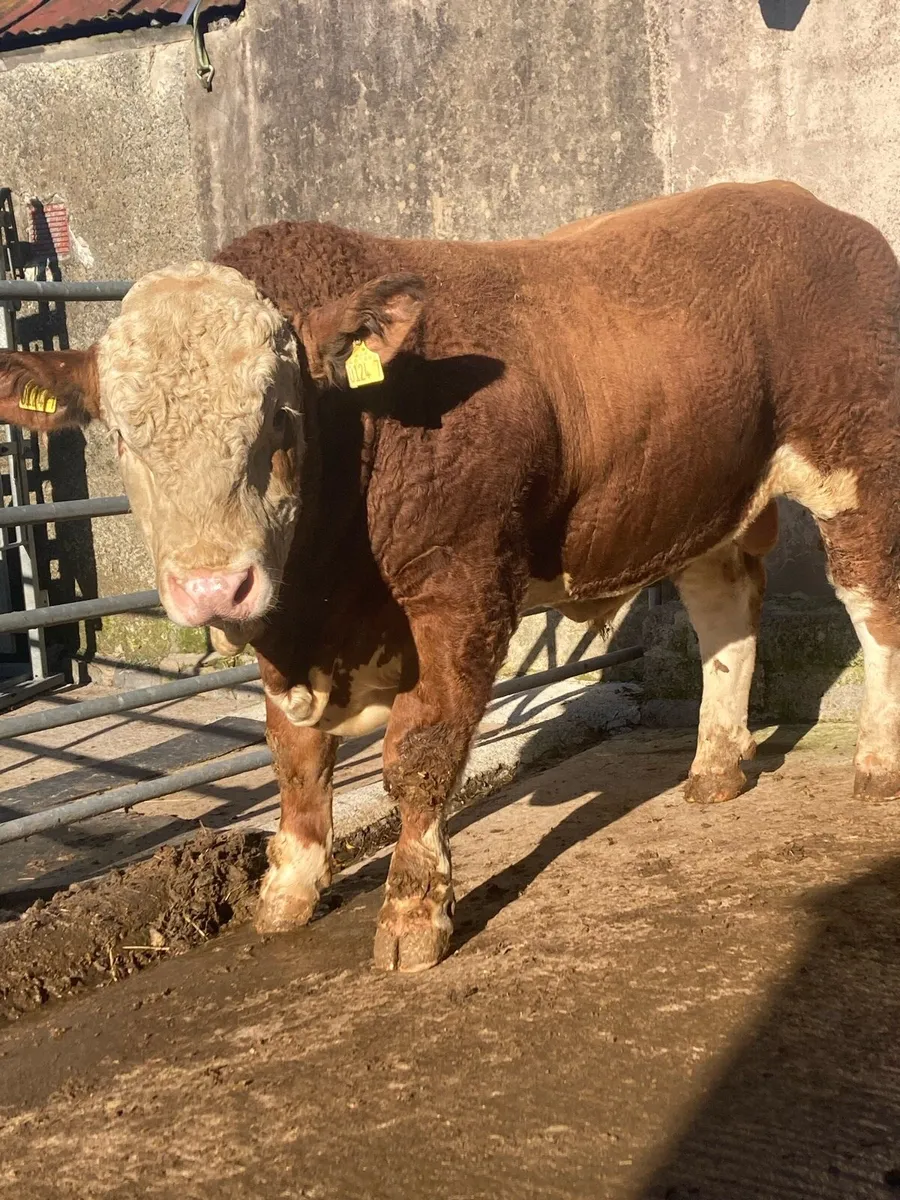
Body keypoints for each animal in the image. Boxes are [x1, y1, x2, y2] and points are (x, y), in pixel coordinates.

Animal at [1, 180, 898, 973]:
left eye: (280, 419)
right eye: (120, 436)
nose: (213, 589)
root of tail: (814, 208)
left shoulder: (460, 589)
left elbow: (420, 753)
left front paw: (413, 912)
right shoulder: (287, 628)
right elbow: (293, 755)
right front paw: (288, 891)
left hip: (858, 465)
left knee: (873, 608)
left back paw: (876, 767)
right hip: (702, 490)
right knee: (725, 614)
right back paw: (715, 769)